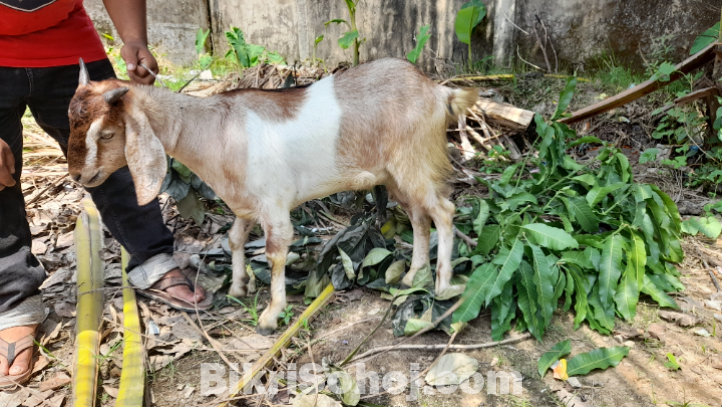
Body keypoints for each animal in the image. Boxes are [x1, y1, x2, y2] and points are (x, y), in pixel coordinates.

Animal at [67, 58, 478, 338]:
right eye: (71, 122)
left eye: (107, 134)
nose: (78, 176)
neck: (216, 129)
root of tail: (438, 91)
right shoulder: (245, 203)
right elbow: (234, 238)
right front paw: (237, 287)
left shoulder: (274, 204)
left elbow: (276, 252)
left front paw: (270, 315)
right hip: (395, 175)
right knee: (418, 216)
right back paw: (411, 276)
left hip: (413, 161)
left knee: (443, 211)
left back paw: (442, 285)